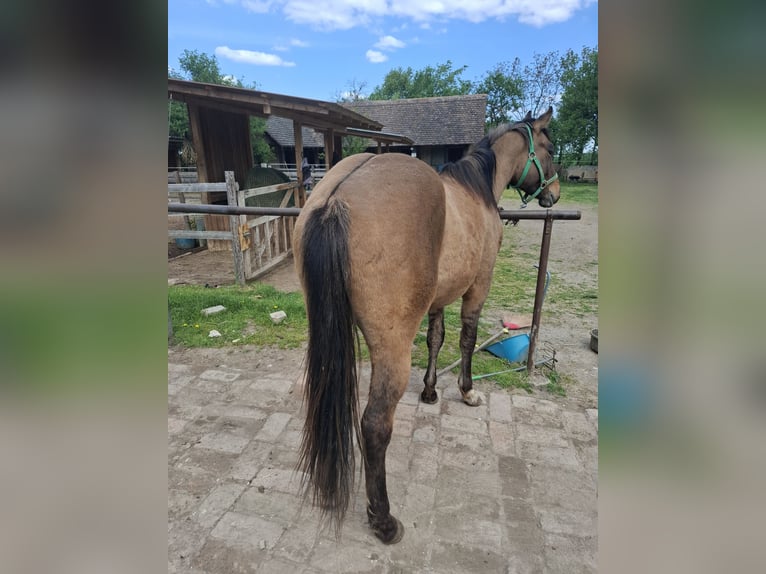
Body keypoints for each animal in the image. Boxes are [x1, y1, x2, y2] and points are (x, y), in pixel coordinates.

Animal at [292, 107, 560, 544]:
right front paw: (467, 391)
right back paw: (383, 520)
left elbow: (437, 338)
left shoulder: (437, 301)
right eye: (550, 147)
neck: (476, 191)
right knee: (375, 425)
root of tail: (336, 199)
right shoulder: (476, 288)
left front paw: (431, 390)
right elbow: (466, 339)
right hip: (392, 348)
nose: (555, 194)